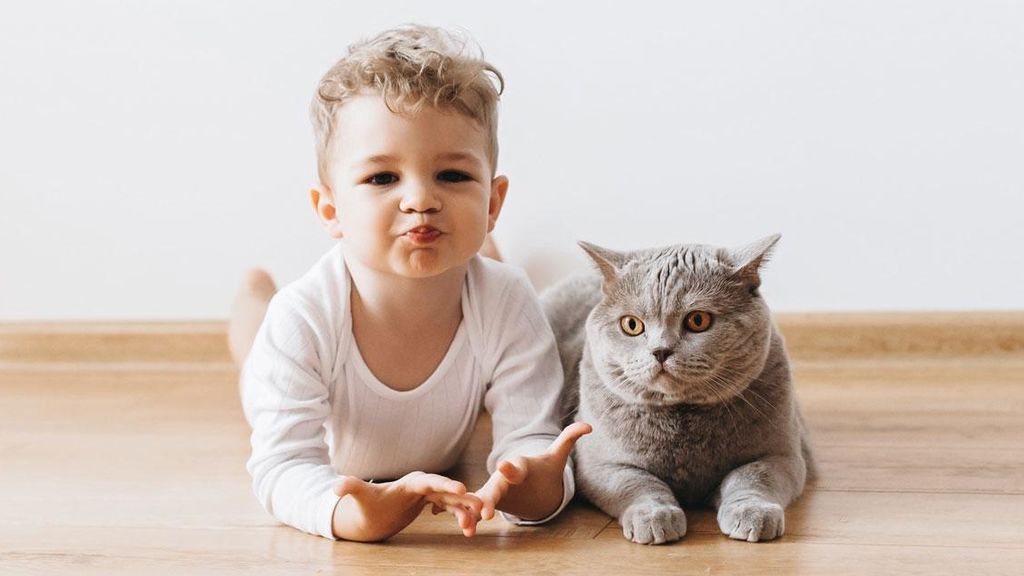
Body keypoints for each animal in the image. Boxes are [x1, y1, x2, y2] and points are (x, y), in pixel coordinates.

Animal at [544, 233, 815, 541]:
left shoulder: (783, 455)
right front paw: (655, 517)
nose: (660, 351)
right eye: (631, 325)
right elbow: (637, 482)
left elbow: (753, 476)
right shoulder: (597, 464)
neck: (681, 419)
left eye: (698, 320)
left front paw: (752, 514)